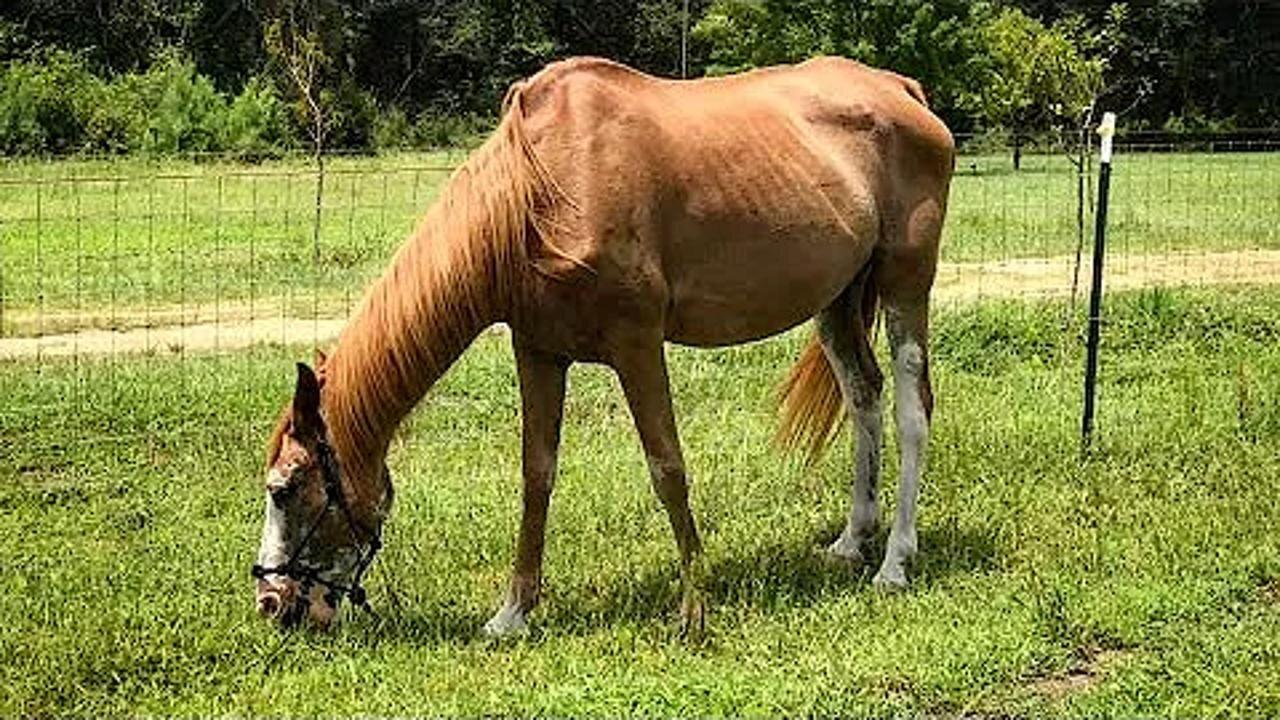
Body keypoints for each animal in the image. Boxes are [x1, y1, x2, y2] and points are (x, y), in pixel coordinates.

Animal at [252, 55, 954, 636]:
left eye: (284, 489)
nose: (272, 603)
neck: (541, 191)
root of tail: (903, 91)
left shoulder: (637, 344)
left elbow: (667, 466)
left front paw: (694, 609)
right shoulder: (538, 352)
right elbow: (536, 475)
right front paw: (512, 613)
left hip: (905, 285)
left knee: (911, 410)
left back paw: (895, 561)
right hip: (837, 300)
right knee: (863, 398)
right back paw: (852, 542)